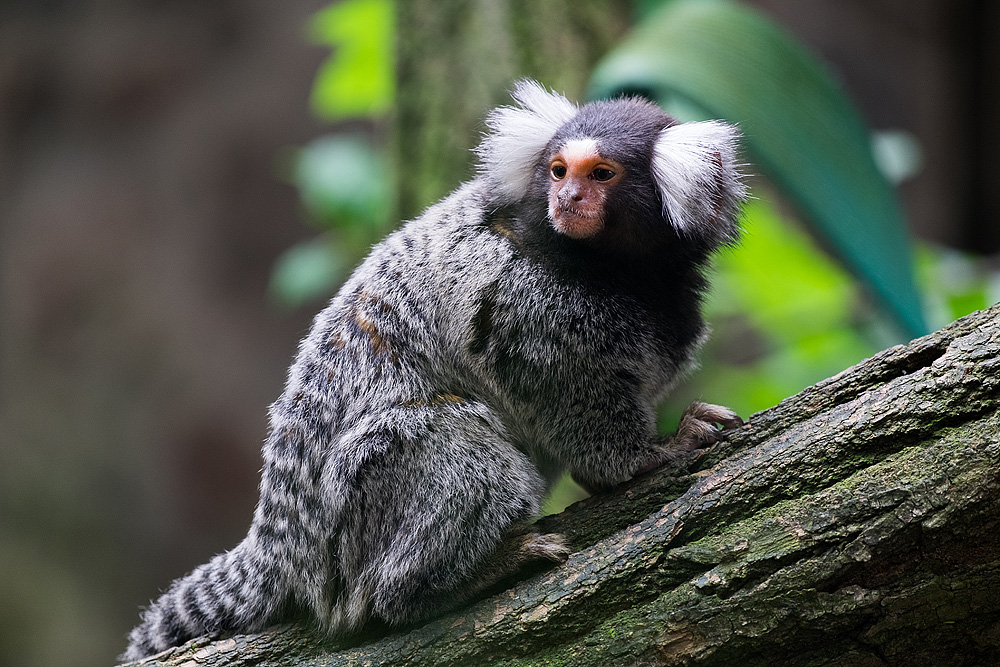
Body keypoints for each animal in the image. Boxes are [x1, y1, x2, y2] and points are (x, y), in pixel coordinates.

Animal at [123, 81, 744, 660]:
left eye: (603, 173)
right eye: (559, 170)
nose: (567, 197)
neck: (618, 269)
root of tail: (280, 541)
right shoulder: (526, 300)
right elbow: (557, 387)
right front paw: (649, 456)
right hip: (361, 503)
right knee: (453, 444)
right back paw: (462, 578)